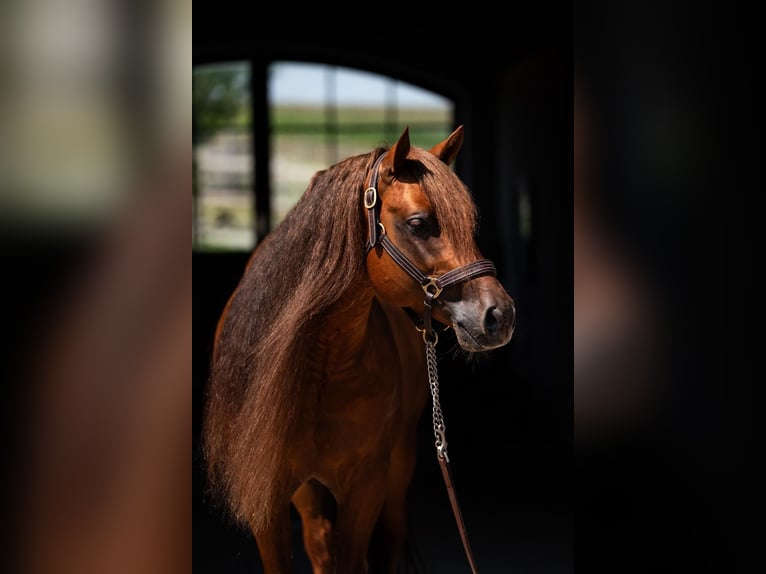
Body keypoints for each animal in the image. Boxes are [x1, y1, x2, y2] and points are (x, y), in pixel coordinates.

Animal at [202, 125, 516, 573]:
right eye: (418, 224)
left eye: (469, 223)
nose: (499, 316)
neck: (319, 361)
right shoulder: (267, 497)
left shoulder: (366, 485)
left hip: (398, 472)